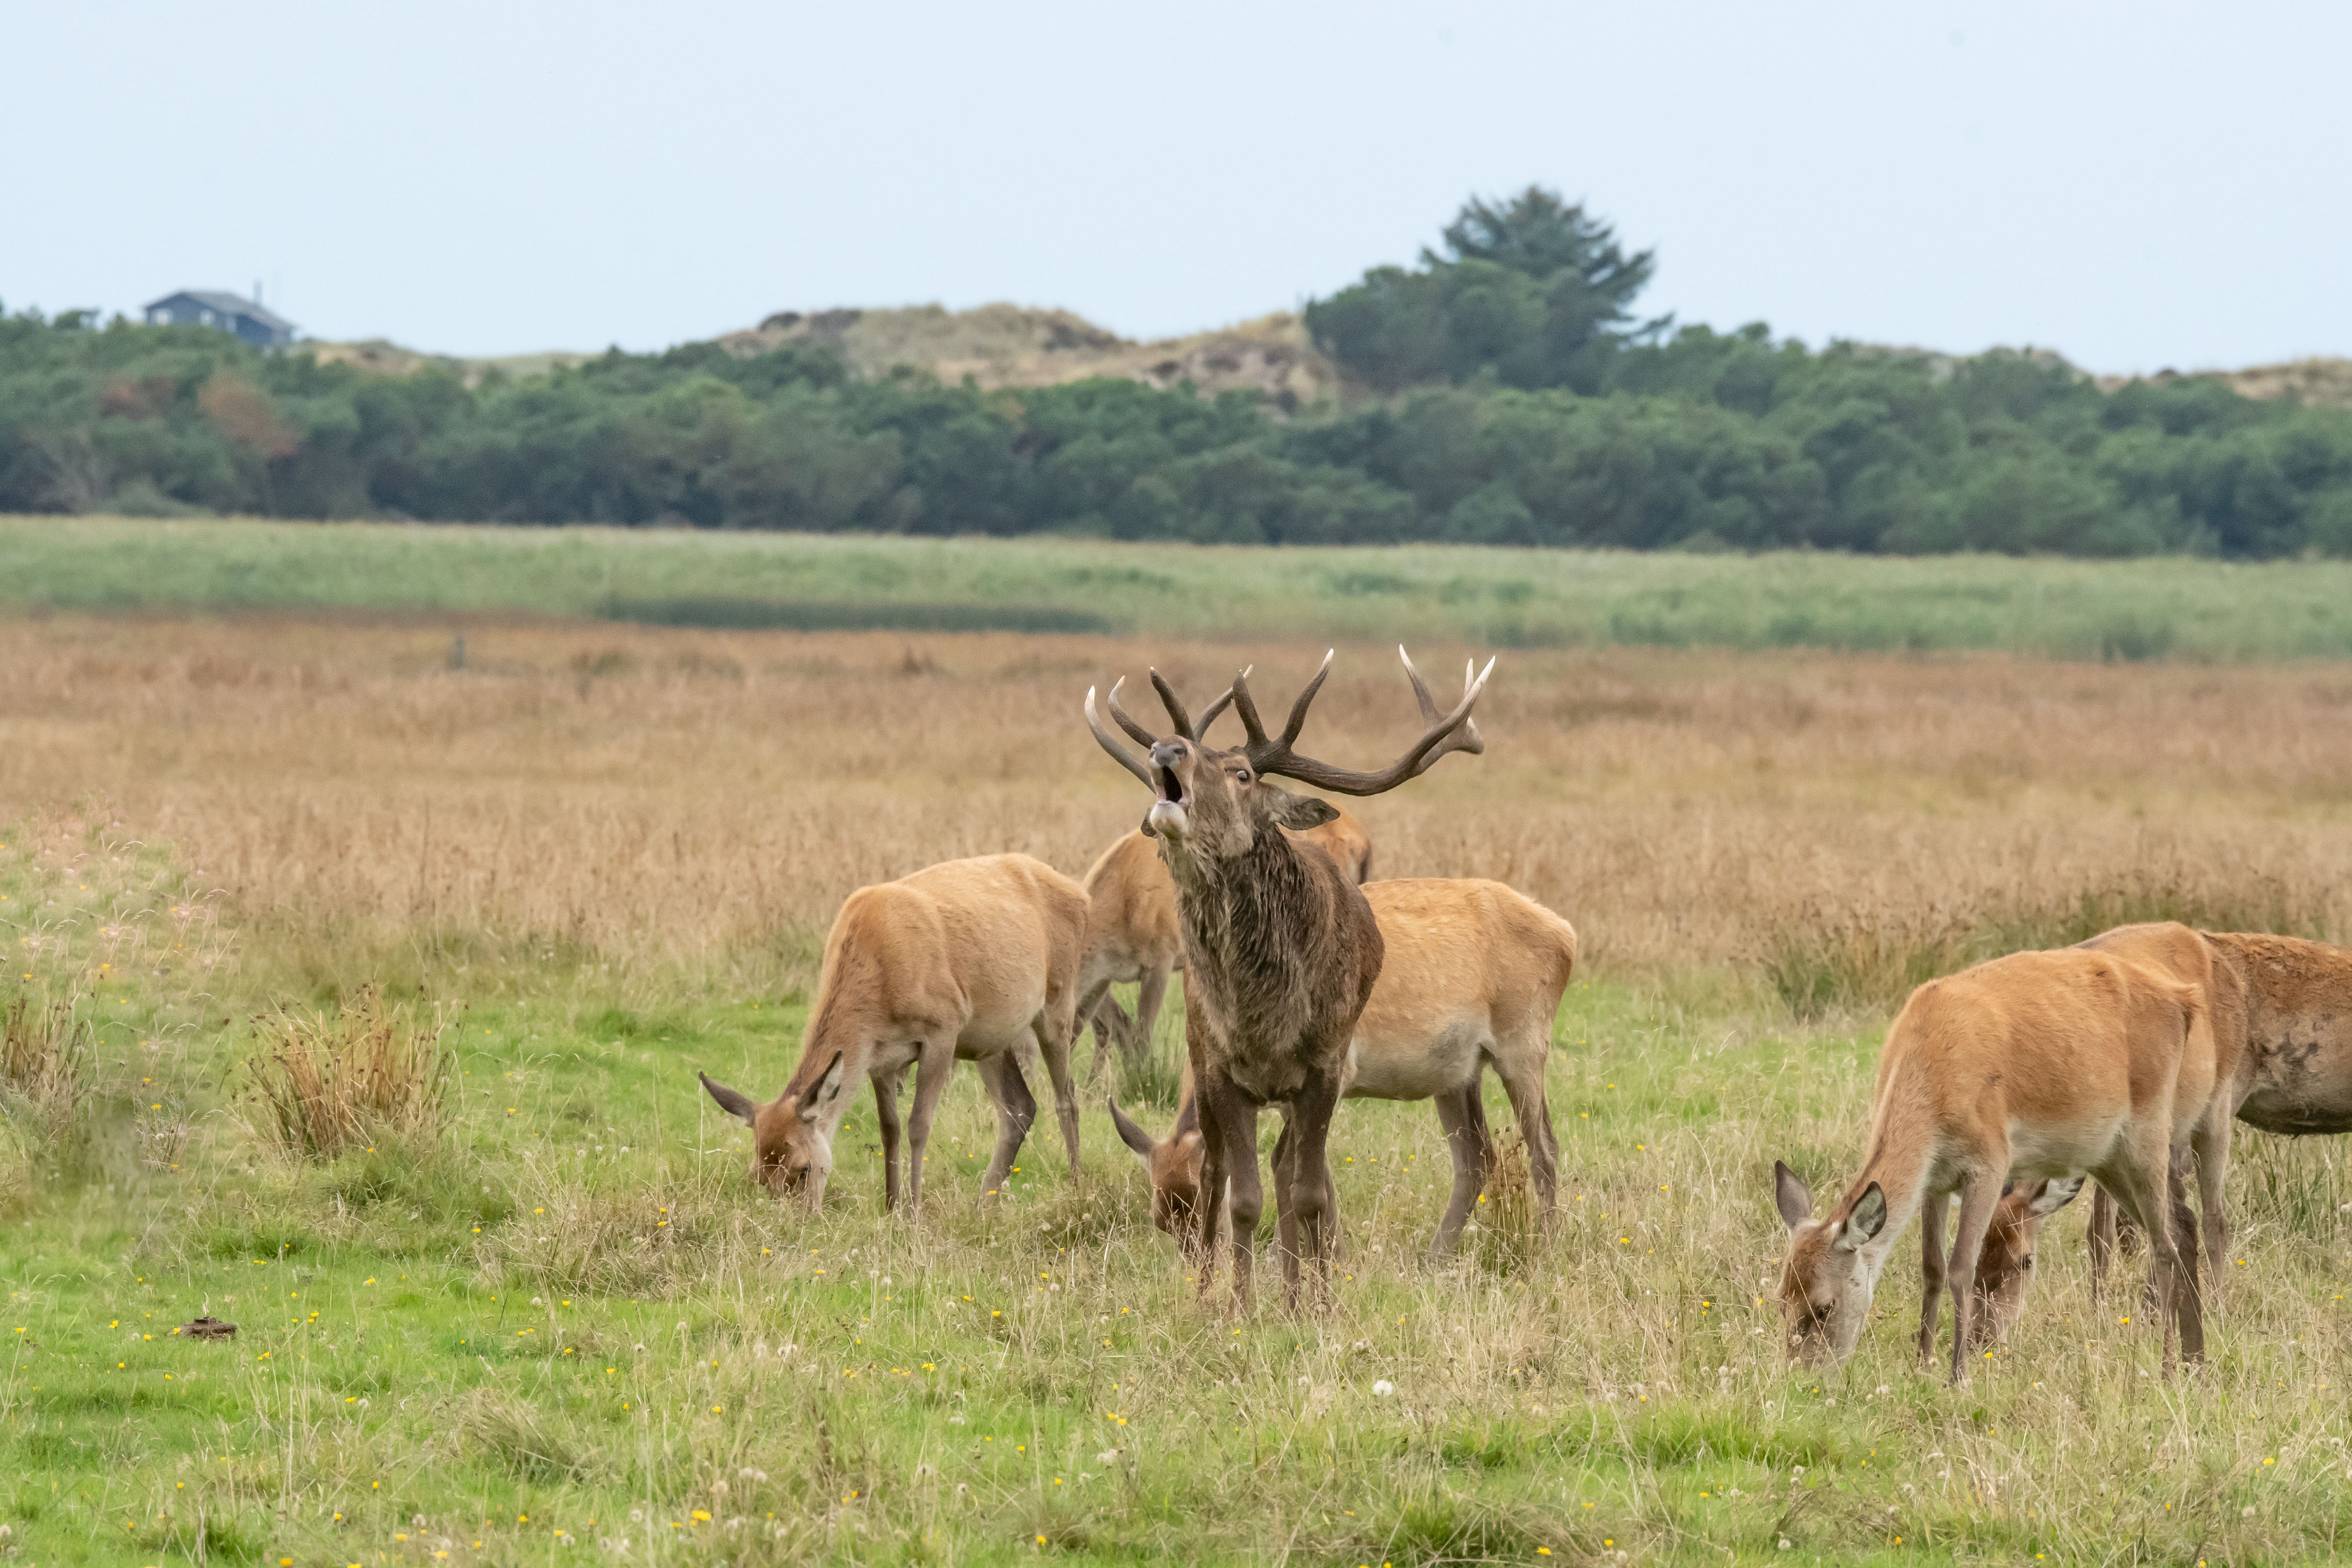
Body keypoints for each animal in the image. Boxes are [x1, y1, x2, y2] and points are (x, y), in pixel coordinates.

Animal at [696, 860, 1091, 1213]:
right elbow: (890, 1129)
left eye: (803, 1168)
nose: (800, 1221)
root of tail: (1081, 893)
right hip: (989, 1040)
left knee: (1067, 1099)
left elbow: (919, 1125)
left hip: (1058, 1000)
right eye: (758, 1176)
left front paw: (914, 1212)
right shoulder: (879, 1058)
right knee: (1019, 1107)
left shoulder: (944, 1026)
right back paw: (983, 1204)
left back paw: (1077, 1189)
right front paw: (890, 1208)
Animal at [1082, 804, 1374, 1086]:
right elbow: (1108, 1026)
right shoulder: (1103, 977)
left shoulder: (1160, 959)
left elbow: (1140, 1031)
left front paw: (1140, 1079)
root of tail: (1361, 839)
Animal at [1105, 884, 1580, 1260]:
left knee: (1546, 1149)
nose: (1201, 1267)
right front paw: (1337, 1259)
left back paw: (1548, 1249)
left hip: (1524, 1048)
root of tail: (1565, 932)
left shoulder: (1333, 1071)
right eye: (1160, 1218)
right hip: (1457, 1074)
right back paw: (1433, 1259)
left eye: (1208, 1201)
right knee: (1477, 1157)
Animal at [1778, 940, 2220, 1382]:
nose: (1803, 1376)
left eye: (1824, 1306)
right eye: (1782, 1299)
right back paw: (2195, 1359)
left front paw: (1958, 1377)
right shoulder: (1936, 1180)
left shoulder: (1990, 1160)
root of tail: (2186, 1001)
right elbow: (1932, 1269)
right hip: (2107, 1158)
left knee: (2164, 1247)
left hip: (2150, 1131)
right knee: (2179, 1223)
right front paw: (1922, 1367)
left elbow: (1961, 1268)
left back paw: (2168, 1366)